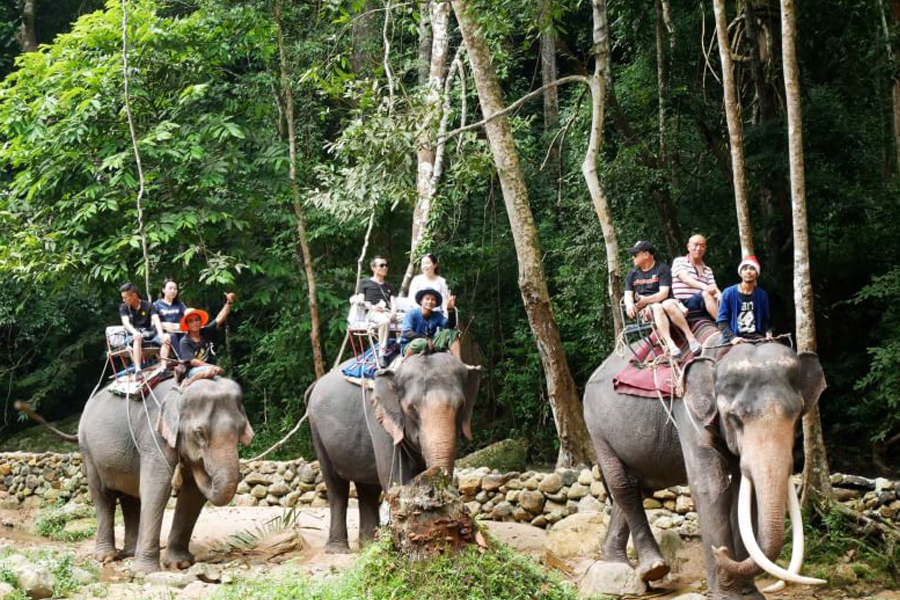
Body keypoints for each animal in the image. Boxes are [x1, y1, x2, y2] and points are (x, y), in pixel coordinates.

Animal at [22, 378, 253, 576]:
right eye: (199, 433)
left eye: (241, 429)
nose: (194, 464)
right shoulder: (153, 437)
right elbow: (157, 488)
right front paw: (144, 572)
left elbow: (192, 495)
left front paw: (180, 564)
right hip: (88, 450)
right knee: (103, 496)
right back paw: (106, 557)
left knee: (130, 497)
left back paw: (130, 553)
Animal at [308, 352, 482, 552]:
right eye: (411, 408)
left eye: (461, 405)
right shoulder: (381, 420)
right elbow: (397, 479)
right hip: (317, 433)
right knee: (336, 487)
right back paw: (339, 549)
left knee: (367, 489)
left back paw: (369, 546)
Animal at [584, 342, 828, 600]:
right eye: (735, 418)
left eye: (796, 416)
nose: (721, 551)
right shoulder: (688, 413)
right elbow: (711, 487)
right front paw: (727, 594)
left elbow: (744, 494)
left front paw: (749, 594)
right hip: (596, 427)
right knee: (622, 484)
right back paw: (652, 568)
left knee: (634, 487)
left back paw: (617, 562)